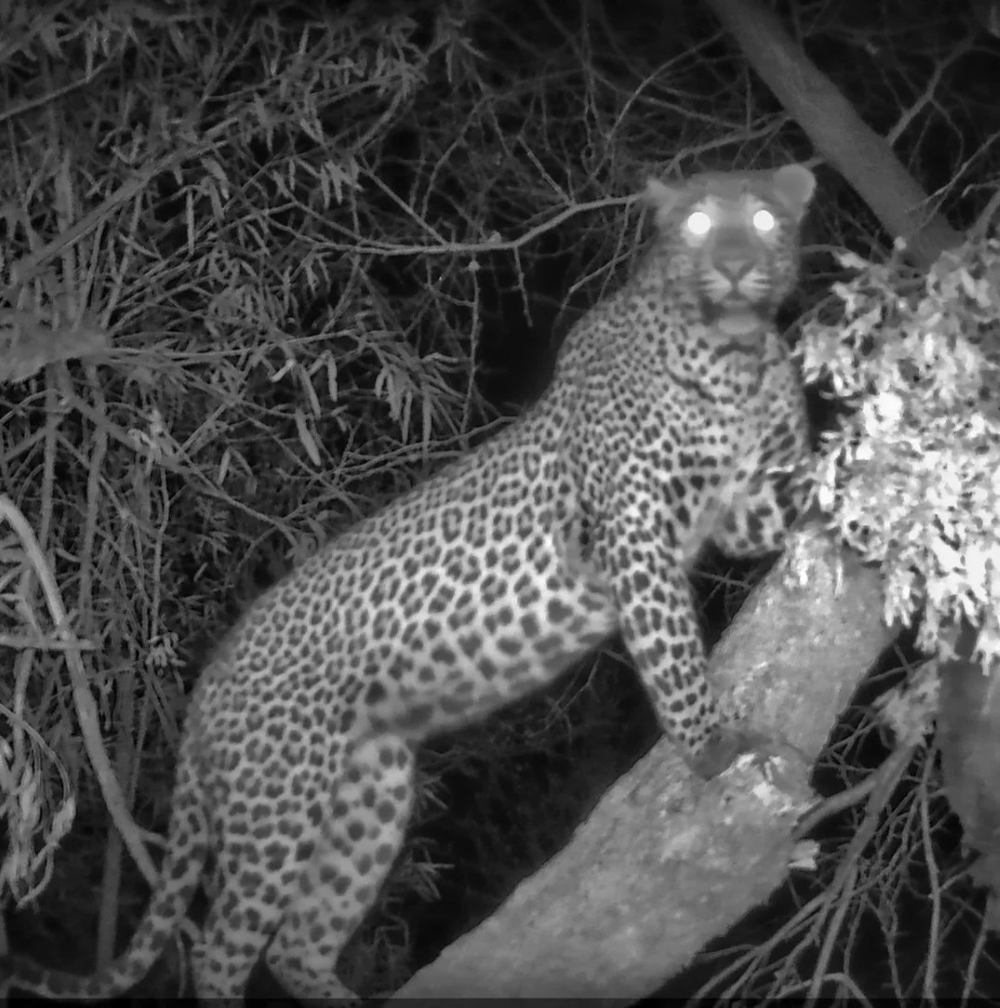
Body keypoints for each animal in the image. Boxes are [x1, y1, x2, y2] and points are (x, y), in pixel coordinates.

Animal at [2, 162, 816, 1005]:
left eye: (763, 218)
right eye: (697, 224)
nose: (732, 265)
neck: (731, 354)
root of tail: (205, 692)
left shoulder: (742, 510)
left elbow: (805, 485)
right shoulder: (633, 531)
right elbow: (673, 655)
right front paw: (713, 745)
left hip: (370, 790)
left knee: (297, 944)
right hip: (278, 803)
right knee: (223, 951)